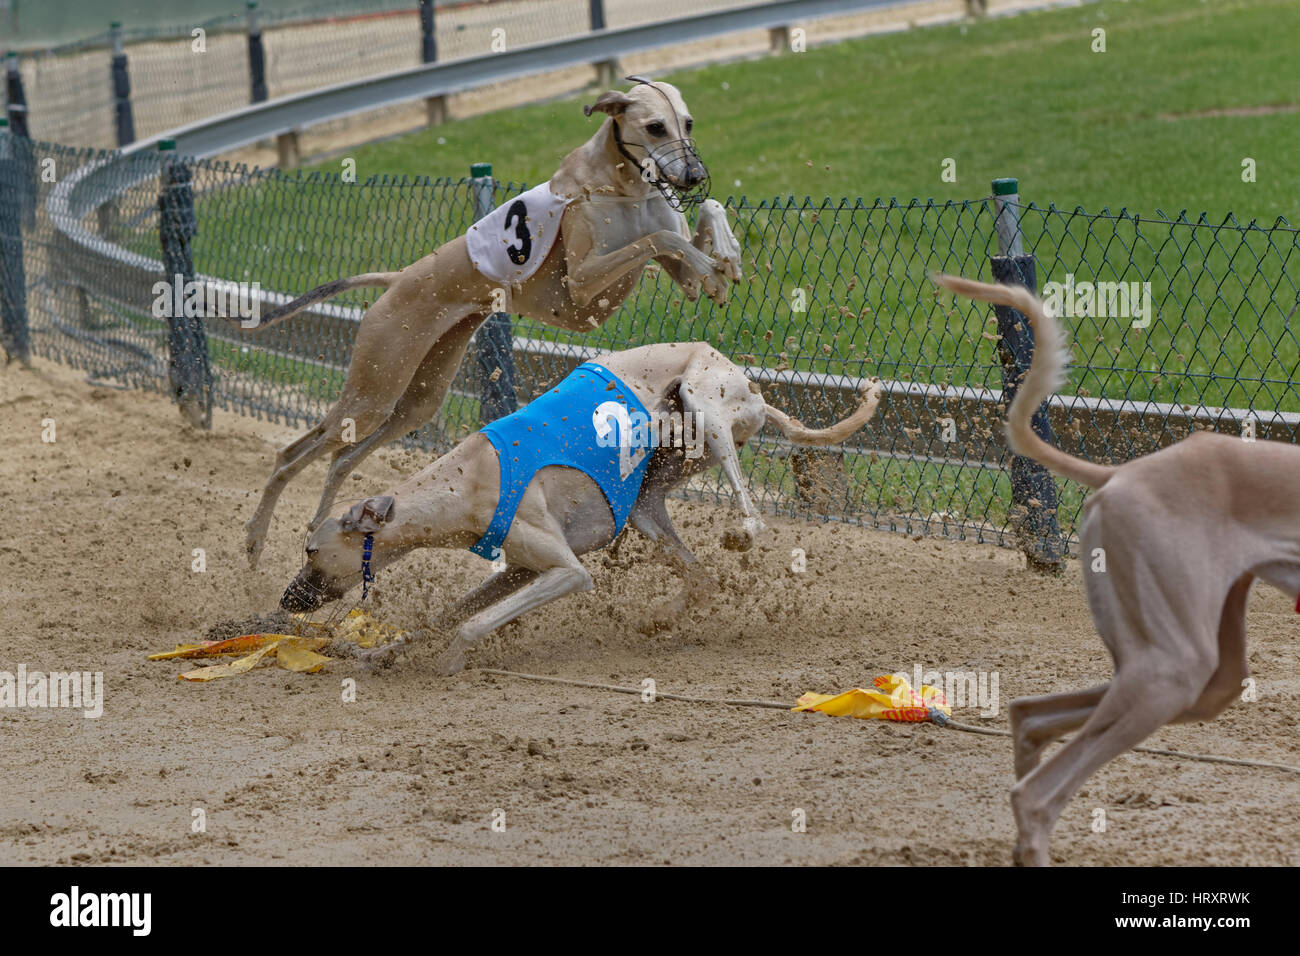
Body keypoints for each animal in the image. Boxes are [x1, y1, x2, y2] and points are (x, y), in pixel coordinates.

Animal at [241, 80, 743, 567]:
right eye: (655, 127)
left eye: (688, 123)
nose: (692, 175)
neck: (624, 185)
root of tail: (398, 277)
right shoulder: (583, 291)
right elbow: (658, 239)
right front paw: (713, 263)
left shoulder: (660, 270)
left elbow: (699, 221)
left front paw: (724, 258)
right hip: (373, 391)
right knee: (291, 455)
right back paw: (254, 542)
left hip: (418, 396)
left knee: (343, 457)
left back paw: (318, 526)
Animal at [279, 343, 878, 671]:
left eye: (311, 550)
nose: (288, 600)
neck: (469, 477)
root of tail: (757, 394)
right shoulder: (519, 569)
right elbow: (445, 615)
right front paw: (378, 654)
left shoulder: (566, 571)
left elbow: (471, 624)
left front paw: (451, 662)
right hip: (646, 499)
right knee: (701, 578)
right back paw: (662, 618)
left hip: (705, 404)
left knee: (747, 510)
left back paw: (743, 533)